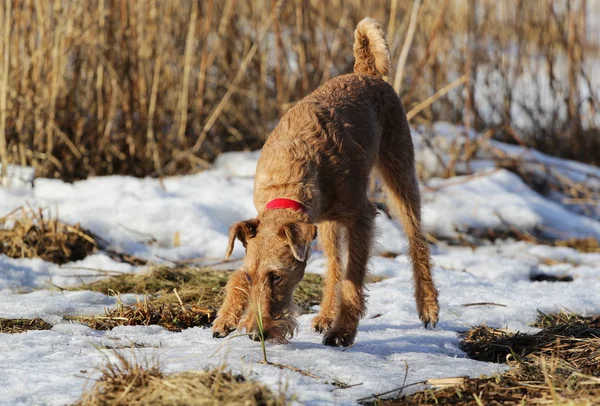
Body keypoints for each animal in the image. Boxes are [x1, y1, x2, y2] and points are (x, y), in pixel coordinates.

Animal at [213, 15, 438, 346]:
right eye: (254, 276)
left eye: (276, 276)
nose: (257, 334)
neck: (285, 182)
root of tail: (364, 72)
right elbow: (238, 274)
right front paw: (225, 317)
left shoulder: (362, 216)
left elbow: (353, 278)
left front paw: (343, 332)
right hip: (327, 221)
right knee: (333, 264)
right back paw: (325, 315)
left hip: (400, 173)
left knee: (416, 238)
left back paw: (428, 307)